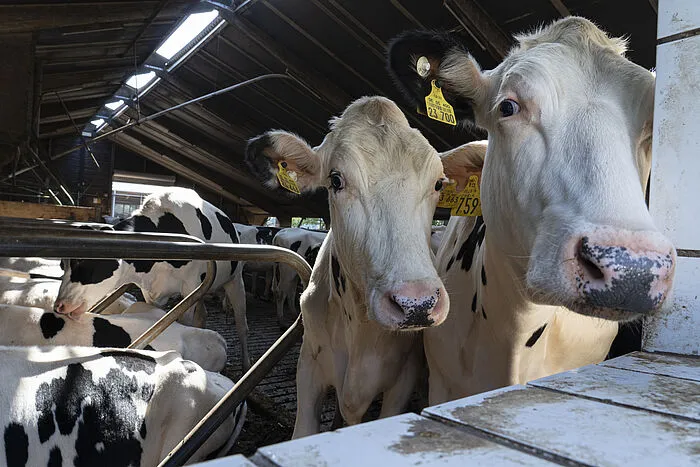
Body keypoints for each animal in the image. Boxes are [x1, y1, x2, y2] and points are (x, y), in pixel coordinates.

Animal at [52, 188, 252, 370]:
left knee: (242, 325)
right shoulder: (150, 292)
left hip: (235, 280)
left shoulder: (191, 287)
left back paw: (246, 364)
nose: (59, 306)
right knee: (203, 315)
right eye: (63, 264)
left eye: (84, 261)